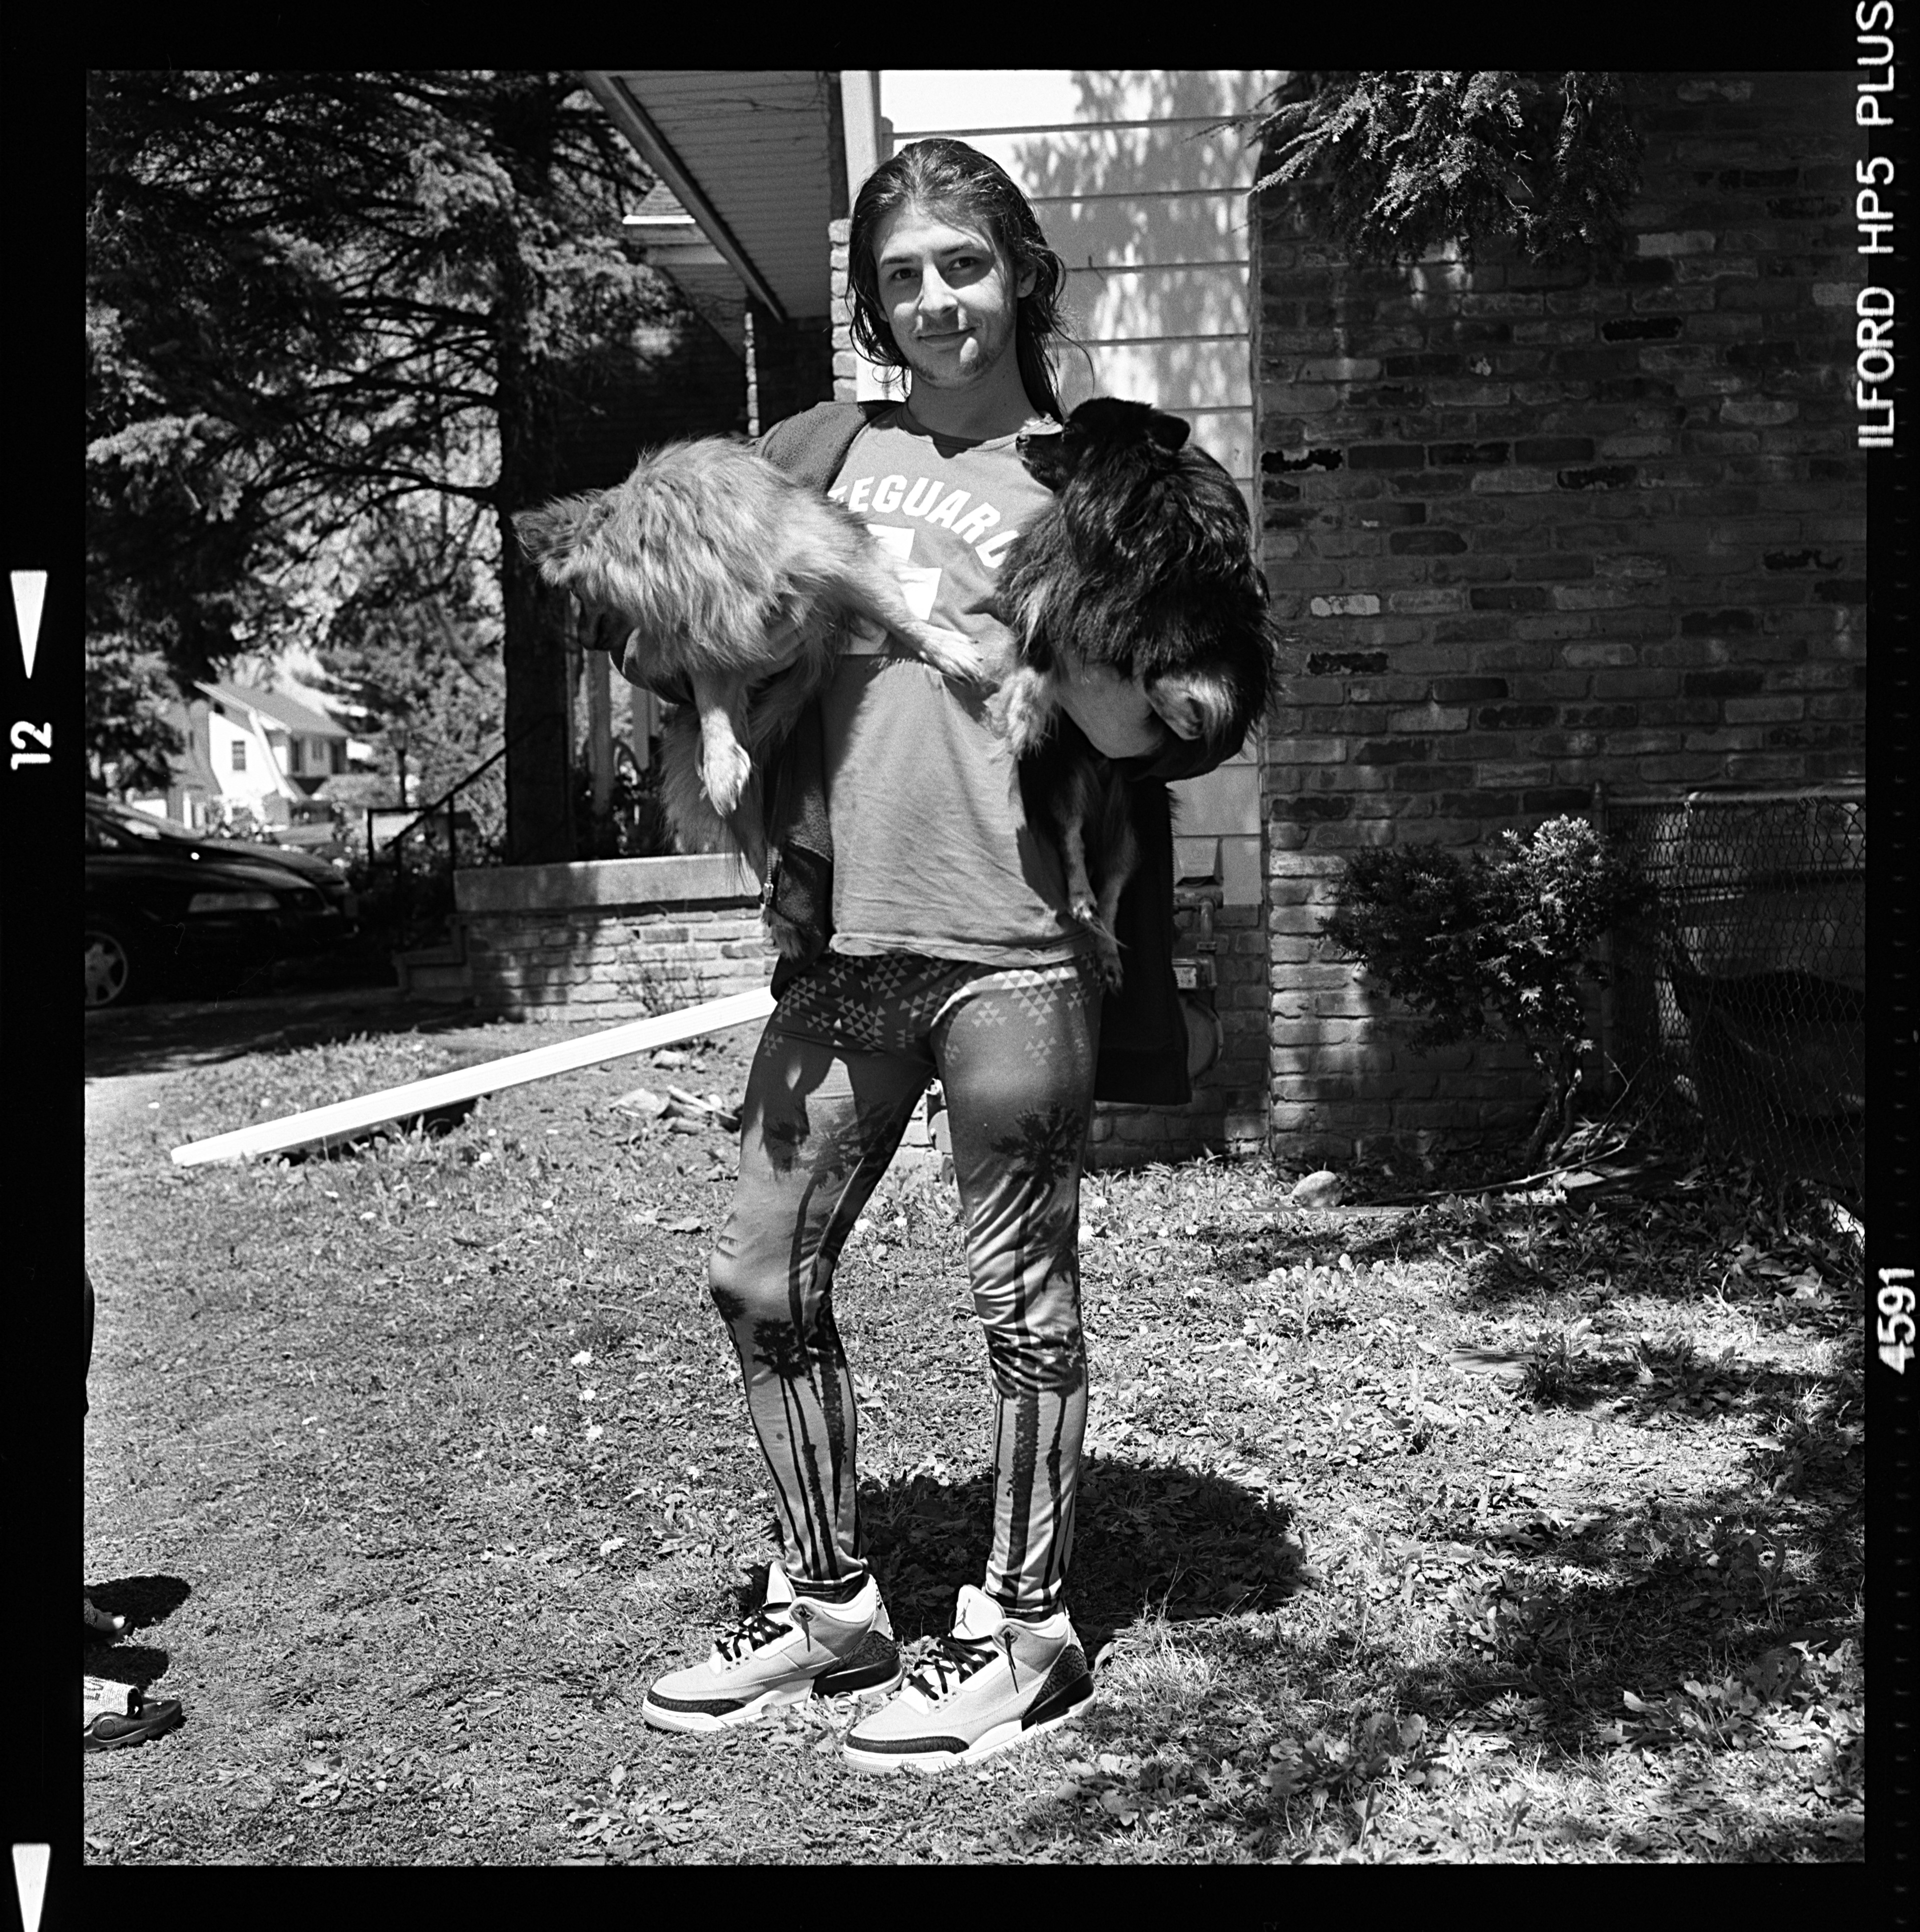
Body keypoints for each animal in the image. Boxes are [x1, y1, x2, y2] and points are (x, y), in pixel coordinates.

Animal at [516, 436, 987, 866]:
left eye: (579, 593)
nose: (582, 641)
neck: (686, 553)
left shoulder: (835, 559)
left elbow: (896, 612)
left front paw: (945, 647)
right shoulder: (711, 638)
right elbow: (711, 706)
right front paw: (721, 766)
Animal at [990, 397, 1278, 986]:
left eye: (1069, 433)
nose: (1023, 438)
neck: (1124, 524)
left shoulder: (1216, 639)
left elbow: (1159, 666)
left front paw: (1183, 713)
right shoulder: (1054, 602)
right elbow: (1036, 654)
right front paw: (1024, 715)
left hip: (1138, 825)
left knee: (1114, 890)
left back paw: (1107, 952)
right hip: (1068, 782)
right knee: (1074, 846)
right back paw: (1081, 903)